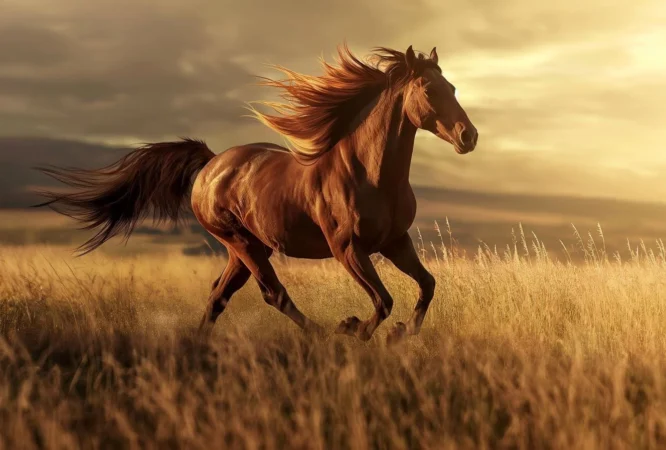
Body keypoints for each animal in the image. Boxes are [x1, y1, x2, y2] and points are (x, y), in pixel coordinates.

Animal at [35, 44, 478, 344]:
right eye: (428, 88)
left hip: (249, 247)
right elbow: (384, 301)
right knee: (273, 294)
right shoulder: (348, 249)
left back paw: (201, 343)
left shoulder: (394, 242)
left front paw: (401, 333)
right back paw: (325, 334)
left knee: (219, 295)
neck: (369, 174)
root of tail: (211, 164)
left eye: (454, 86)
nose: (468, 136)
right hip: (241, 242)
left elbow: (427, 285)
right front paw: (355, 328)